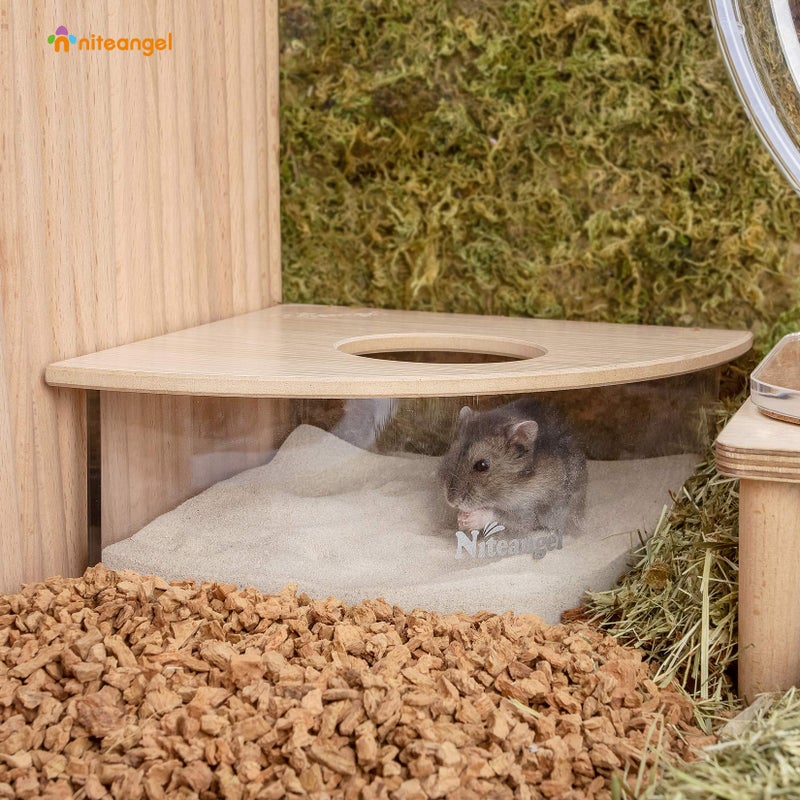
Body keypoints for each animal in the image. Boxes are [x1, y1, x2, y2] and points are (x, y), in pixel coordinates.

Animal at [438, 399, 587, 547]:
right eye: (452, 454)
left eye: (482, 465)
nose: (451, 502)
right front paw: (460, 519)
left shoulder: (528, 510)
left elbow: (500, 515)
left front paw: (469, 519)